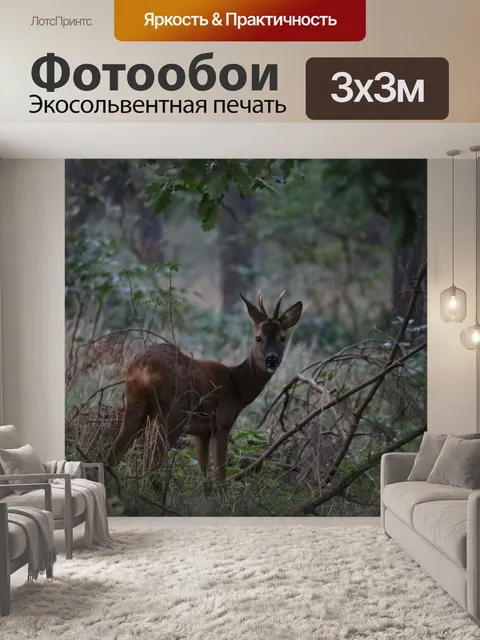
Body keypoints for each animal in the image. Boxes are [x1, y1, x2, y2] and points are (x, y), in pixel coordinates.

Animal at [105, 291, 303, 495]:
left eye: (282, 338)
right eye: (258, 337)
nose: (272, 360)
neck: (238, 386)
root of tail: (144, 366)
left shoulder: (202, 432)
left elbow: (203, 471)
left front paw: (207, 497)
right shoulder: (222, 423)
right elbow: (220, 472)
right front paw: (223, 497)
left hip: (135, 405)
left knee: (113, 454)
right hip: (173, 414)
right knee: (151, 460)